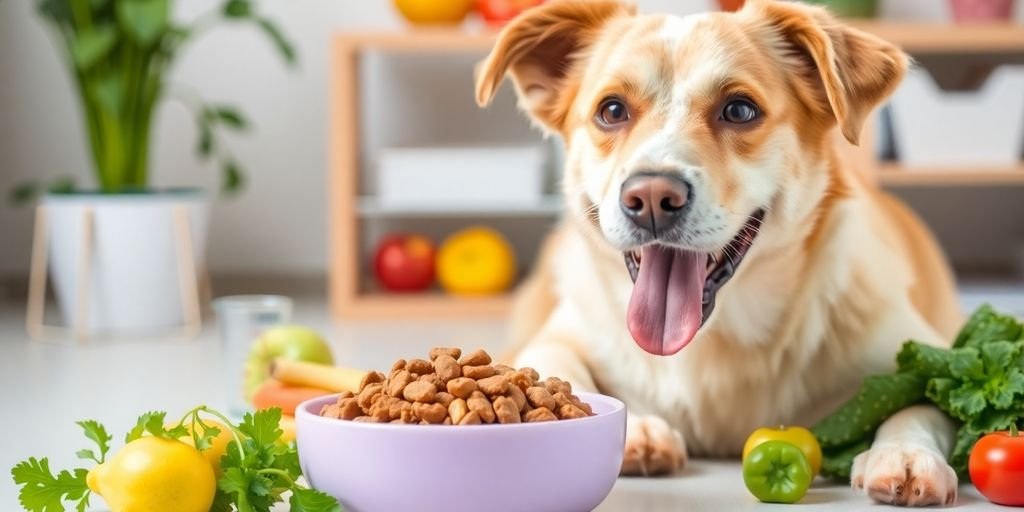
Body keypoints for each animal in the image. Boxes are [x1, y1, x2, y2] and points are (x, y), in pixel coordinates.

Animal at [475, 0, 962, 505]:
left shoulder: (927, 349)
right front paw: (638, 428)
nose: (652, 198)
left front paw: (907, 453)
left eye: (740, 110)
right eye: (611, 110)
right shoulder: (555, 336)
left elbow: (925, 400)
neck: (715, 342)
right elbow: (554, 363)